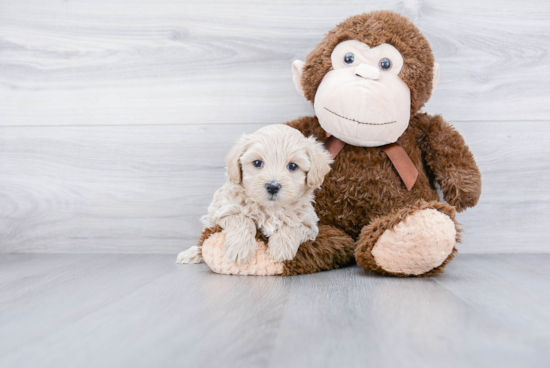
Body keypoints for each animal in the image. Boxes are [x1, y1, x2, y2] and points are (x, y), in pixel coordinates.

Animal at [178, 123, 332, 264]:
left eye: (293, 166)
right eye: (257, 163)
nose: (272, 186)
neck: (270, 209)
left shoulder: (309, 224)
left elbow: (293, 226)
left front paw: (281, 248)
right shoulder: (223, 211)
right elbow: (242, 218)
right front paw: (239, 248)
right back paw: (192, 254)